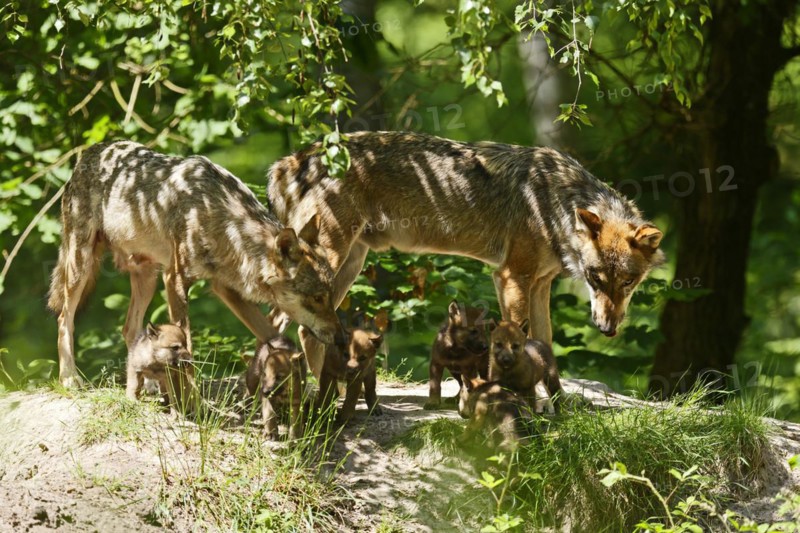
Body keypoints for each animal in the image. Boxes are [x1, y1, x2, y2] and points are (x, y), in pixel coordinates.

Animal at [48, 141, 342, 387]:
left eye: (329, 296)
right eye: (316, 298)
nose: (338, 336)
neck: (219, 218)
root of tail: (91, 151)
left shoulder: (225, 289)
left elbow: (275, 337)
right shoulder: (175, 279)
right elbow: (186, 343)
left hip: (147, 277)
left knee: (129, 329)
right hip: (81, 266)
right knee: (64, 318)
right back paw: (69, 378)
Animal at [267, 131, 664, 378]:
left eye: (628, 282)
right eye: (595, 277)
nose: (608, 330)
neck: (555, 205)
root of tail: (288, 161)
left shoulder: (540, 285)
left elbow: (545, 343)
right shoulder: (511, 277)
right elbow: (517, 338)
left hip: (349, 266)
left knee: (300, 327)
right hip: (330, 263)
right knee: (287, 323)